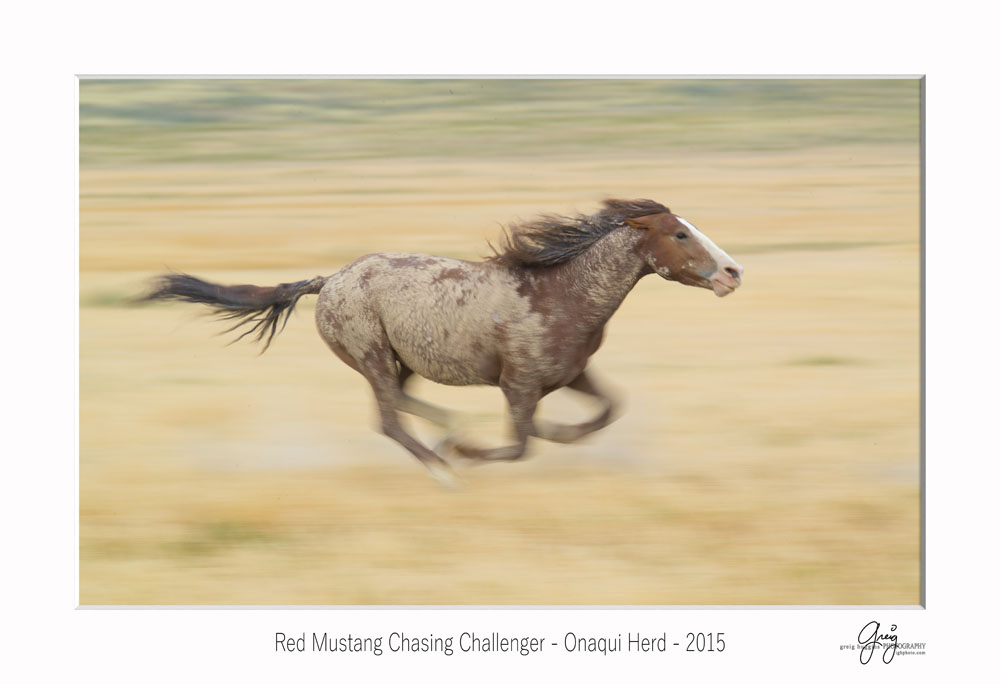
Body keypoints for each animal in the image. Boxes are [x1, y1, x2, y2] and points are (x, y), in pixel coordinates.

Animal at [146, 200, 744, 484]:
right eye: (680, 233)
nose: (733, 273)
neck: (561, 293)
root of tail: (329, 280)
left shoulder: (570, 374)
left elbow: (604, 412)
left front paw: (553, 432)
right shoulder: (518, 385)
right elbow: (519, 445)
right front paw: (468, 453)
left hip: (400, 361)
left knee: (397, 404)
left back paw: (448, 431)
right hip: (371, 355)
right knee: (389, 419)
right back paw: (444, 465)